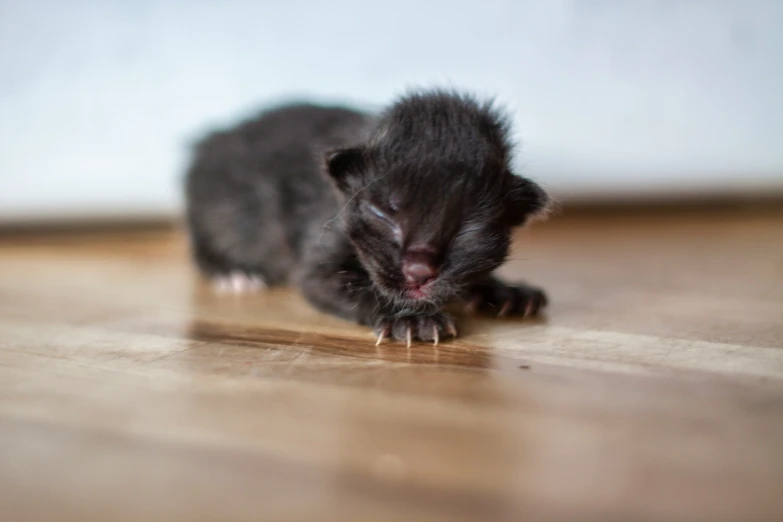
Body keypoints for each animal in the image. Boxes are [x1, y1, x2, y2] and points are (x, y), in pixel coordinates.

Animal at [185, 88, 552, 344]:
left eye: (469, 229)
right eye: (383, 215)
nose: (419, 272)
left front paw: (505, 291)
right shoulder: (321, 253)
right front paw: (410, 319)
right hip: (216, 209)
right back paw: (234, 273)